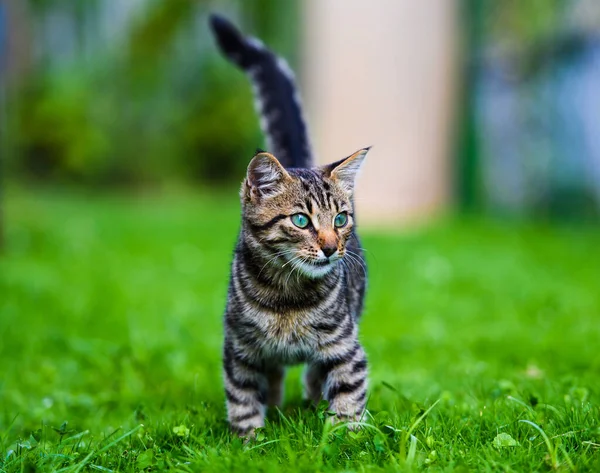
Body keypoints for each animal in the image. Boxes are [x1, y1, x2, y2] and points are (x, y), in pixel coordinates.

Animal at [211, 13, 370, 436]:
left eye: (340, 218)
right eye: (301, 220)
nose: (331, 247)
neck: (288, 298)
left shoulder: (347, 347)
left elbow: (348, 398)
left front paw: (341, 437)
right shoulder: (239, 350)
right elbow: (243, 401)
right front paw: (250, 441)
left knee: (314, 376)